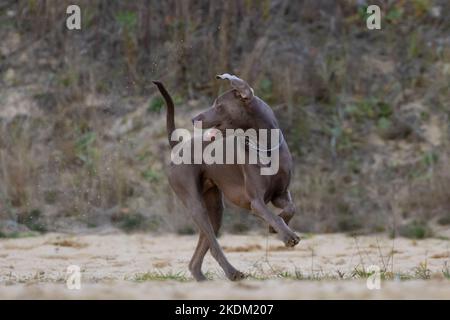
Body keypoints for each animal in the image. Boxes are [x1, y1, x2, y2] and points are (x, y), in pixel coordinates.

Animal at [153, 74, 300, 280]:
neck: (265, 146)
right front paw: (288, 236)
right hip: (195, 203)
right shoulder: (256, 202)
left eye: (218, 105)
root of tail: (178, 146)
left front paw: (277, 228)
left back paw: (203, 279)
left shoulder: (280, 194)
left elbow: (290, 208)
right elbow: (273, 216)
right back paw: (233, 273)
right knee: (214, 245)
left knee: (201, 250)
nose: (193, 119)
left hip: (215, 209)